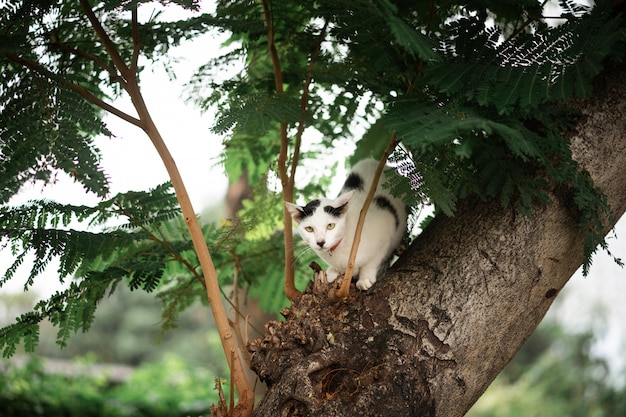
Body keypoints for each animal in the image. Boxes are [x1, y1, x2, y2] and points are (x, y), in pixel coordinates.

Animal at [282, 158, 404, 290]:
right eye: (309, 229)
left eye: (330, 226)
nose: (320, 242)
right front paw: (333, 271)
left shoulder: (386, 229)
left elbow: (372, 262)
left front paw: (365, 279)